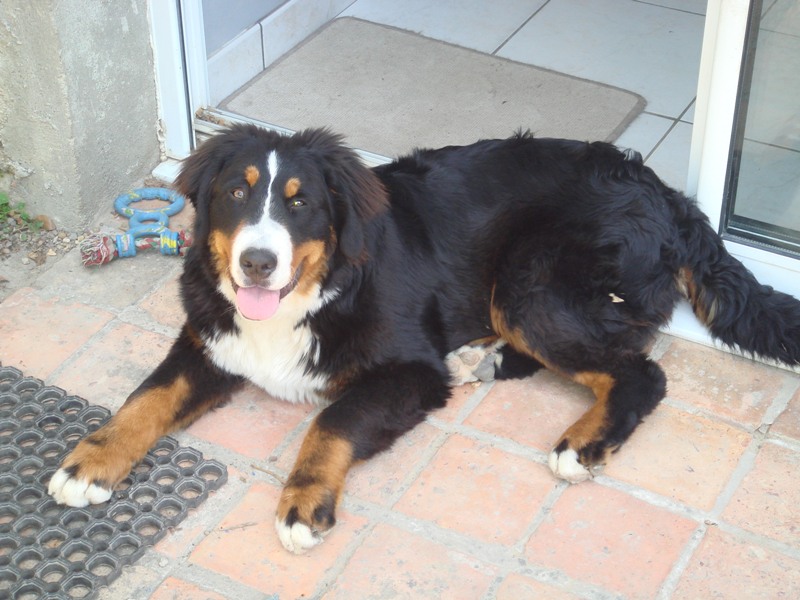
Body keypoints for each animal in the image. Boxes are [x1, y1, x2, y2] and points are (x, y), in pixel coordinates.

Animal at [49, 125, 800, 553]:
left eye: (300, 202)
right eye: (238, 193)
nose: (257, 263)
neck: (314, 293)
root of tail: (662, 190)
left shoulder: (408, 370)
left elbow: (331, 420)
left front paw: (304, 502)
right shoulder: (211, 338)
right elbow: (147, 397)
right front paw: (89, 462)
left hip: (529, 281)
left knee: (639, 371)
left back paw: (580, 442)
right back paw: (481, 359)